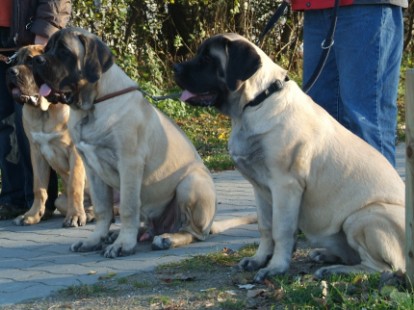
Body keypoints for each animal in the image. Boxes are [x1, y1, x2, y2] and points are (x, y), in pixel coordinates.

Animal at [31, 28, 256, 256]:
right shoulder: (92, 169)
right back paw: (122, 234)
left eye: (64, 51)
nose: (36, 60)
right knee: (149, 226)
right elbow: (103, 209)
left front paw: (123, 244)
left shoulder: (129, 164)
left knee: (193, 232)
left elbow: (128, 208)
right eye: (47, 48)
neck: (91, 107)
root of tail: (211, 224)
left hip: (190, 183)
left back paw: (167, 239)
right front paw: (95, 239)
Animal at [173, 33, 406, 280]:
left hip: (364, 216)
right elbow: (265, 227)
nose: (175, 68)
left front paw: (275, 267)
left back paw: (335, 270)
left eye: (208, 59)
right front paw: (259, 259)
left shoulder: (285, 186)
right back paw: (326, 255)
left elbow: (281, 230)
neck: (256, 102)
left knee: (382, 268)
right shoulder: (260, 189)